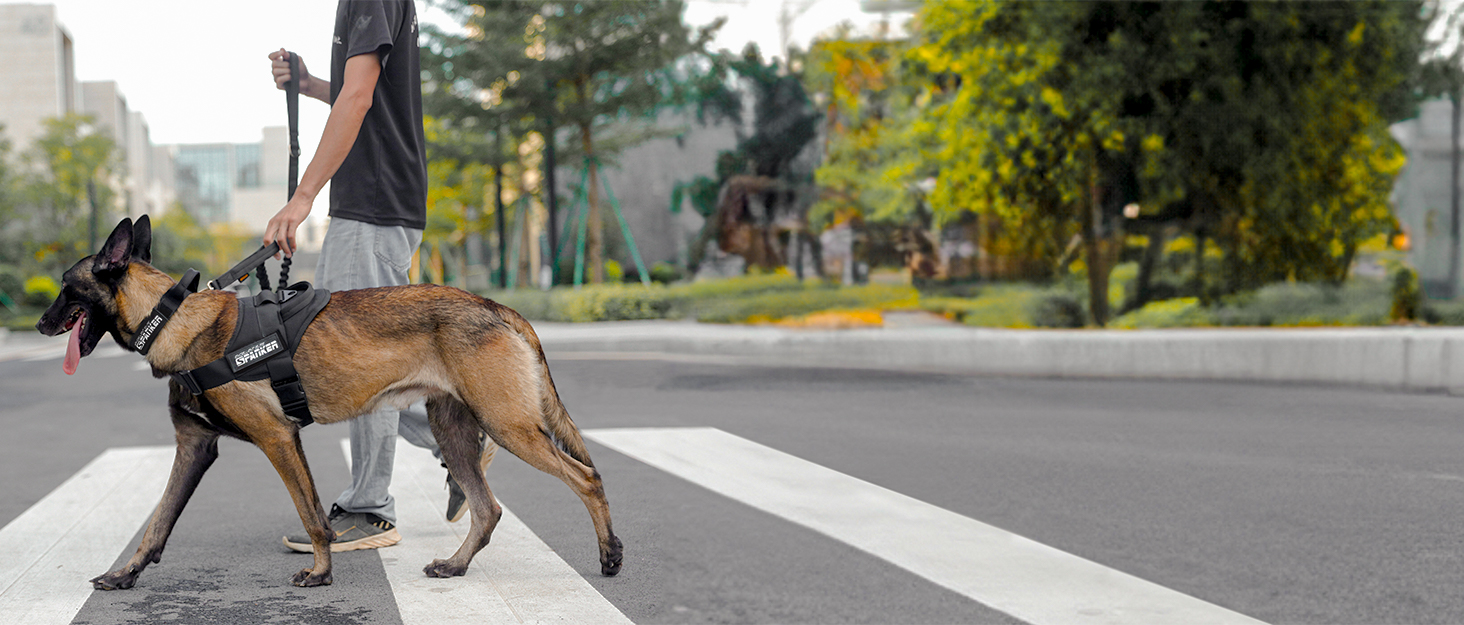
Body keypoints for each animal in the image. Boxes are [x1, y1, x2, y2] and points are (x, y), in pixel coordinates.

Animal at [34, 218, 617, 588]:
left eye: (65, 286)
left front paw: (320, 573)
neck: (172, 318)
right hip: (455, 431)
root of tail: (496, 306)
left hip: (508, 425)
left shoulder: (278, 438)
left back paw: (610, 554)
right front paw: (124, 574)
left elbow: (313, 515)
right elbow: (157, 523)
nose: (39, 323)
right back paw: (455, 566)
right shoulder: (194, 449)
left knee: (586, 477)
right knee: (488, 507)